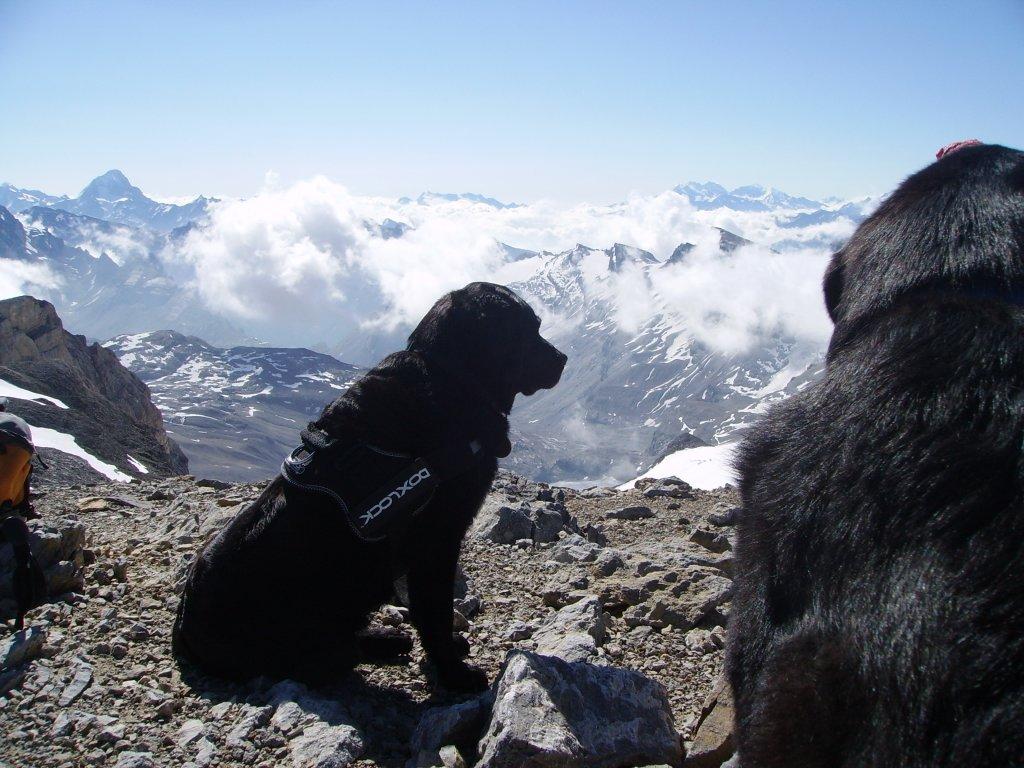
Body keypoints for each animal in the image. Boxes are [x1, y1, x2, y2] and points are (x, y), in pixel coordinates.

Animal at [171, 282, 565, 692]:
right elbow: (434, 609)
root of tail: (182, 630)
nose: (562, 359)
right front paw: (455, 672)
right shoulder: (435, 538)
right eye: (529, 329)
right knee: (337, 652)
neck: (450, 377)